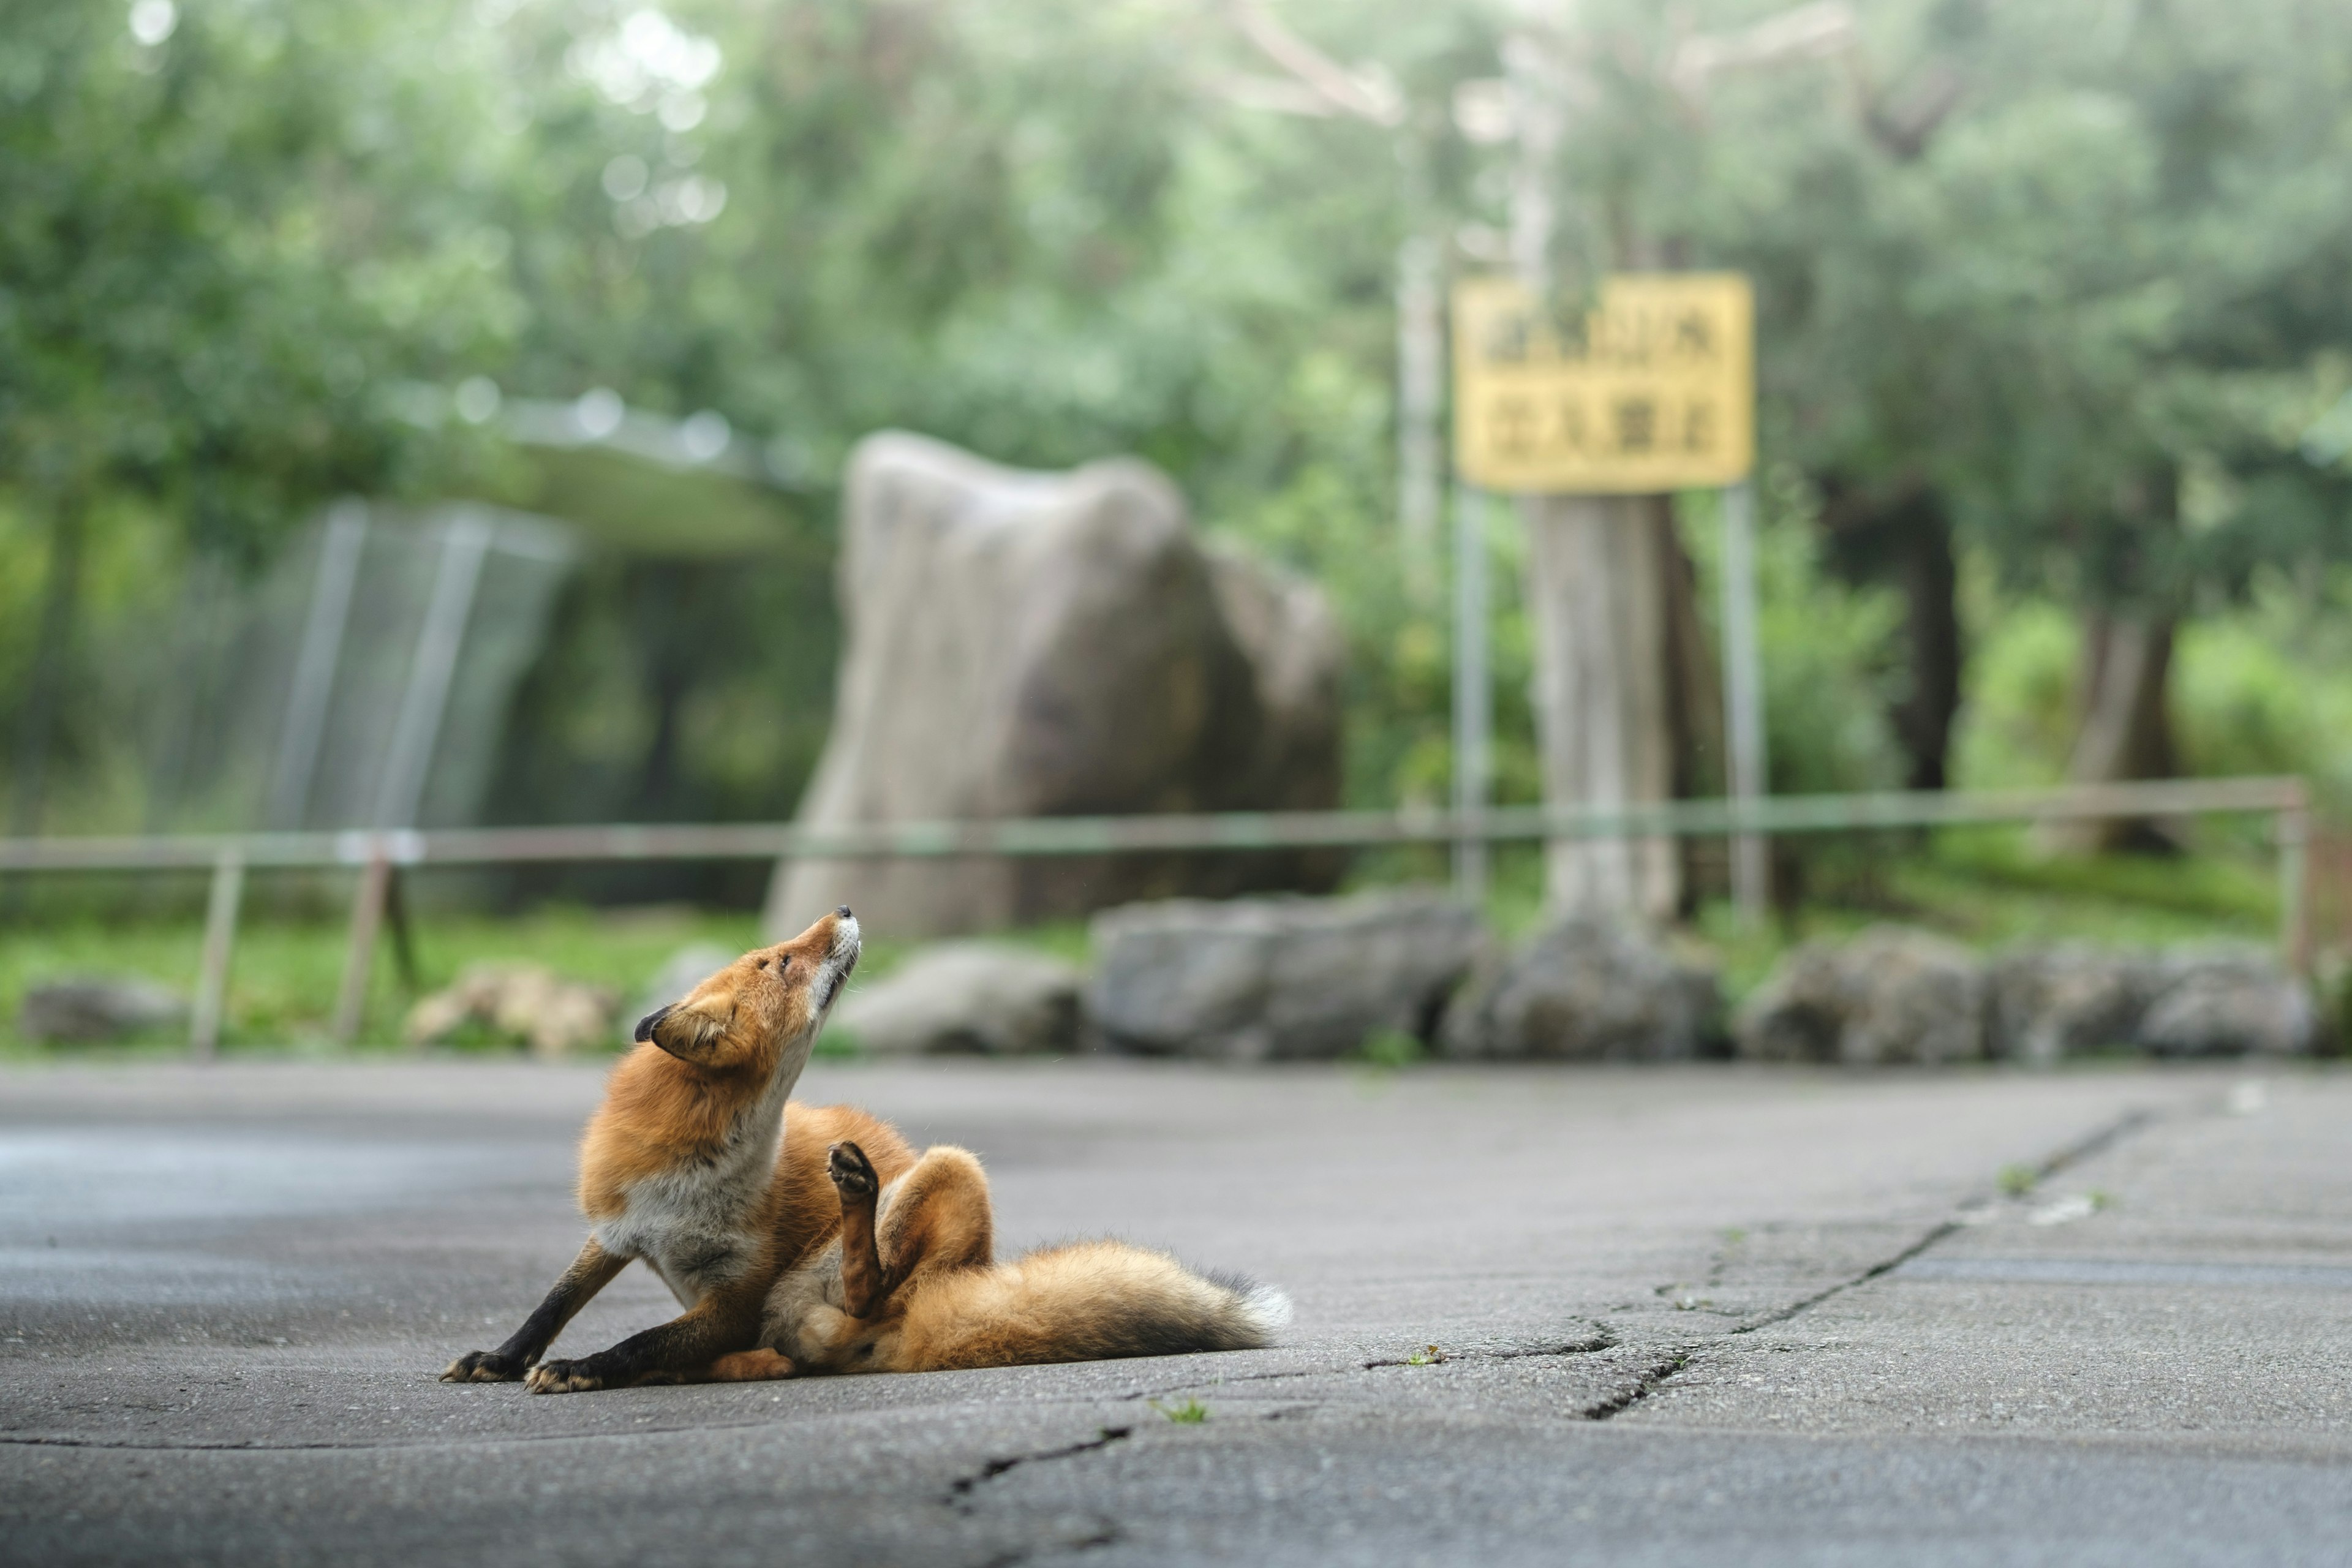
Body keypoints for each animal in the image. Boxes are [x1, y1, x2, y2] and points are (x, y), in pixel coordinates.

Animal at [442, 907, 1289, 1401]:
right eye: (782, 962)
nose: (845, 908)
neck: (697, 1176)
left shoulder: (737, 1293)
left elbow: (637, 1337)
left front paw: (587, 1366)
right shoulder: (619, 1229)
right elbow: (554, 1304)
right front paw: (504, 1358)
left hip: (946, 1174)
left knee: (864, 1296)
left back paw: (856, 1198)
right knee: (789, 1350)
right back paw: (744, 1359)